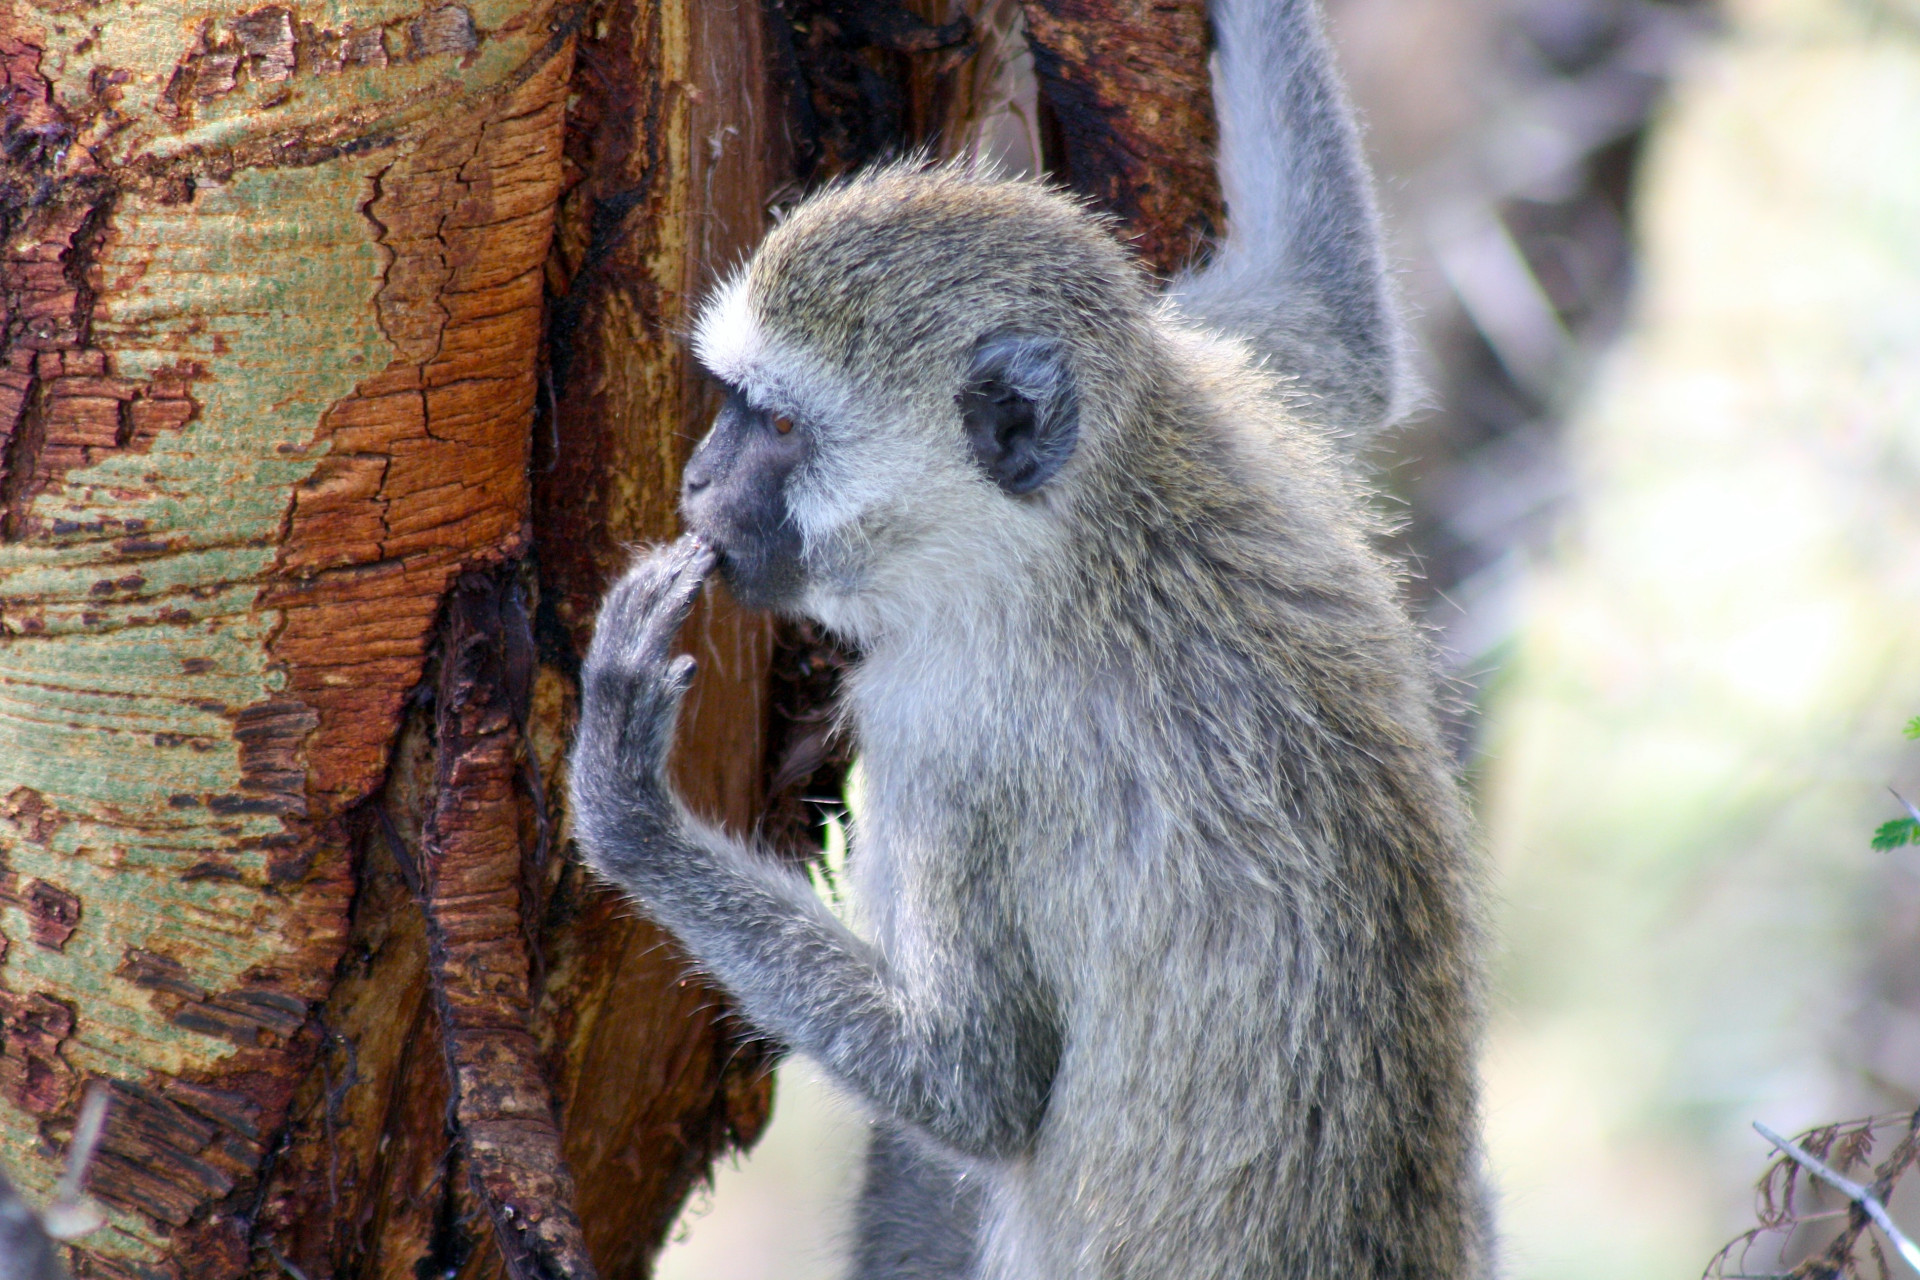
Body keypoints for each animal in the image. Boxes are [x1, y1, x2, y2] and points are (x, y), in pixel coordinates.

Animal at [560, 0, 1489, 1274]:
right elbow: (1339, 332)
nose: (697, 481)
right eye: (735, 406)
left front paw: (625, 797)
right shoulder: (1201, 376)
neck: (1094, 528)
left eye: (780, 425)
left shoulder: (950, 740)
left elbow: (978, 1082)